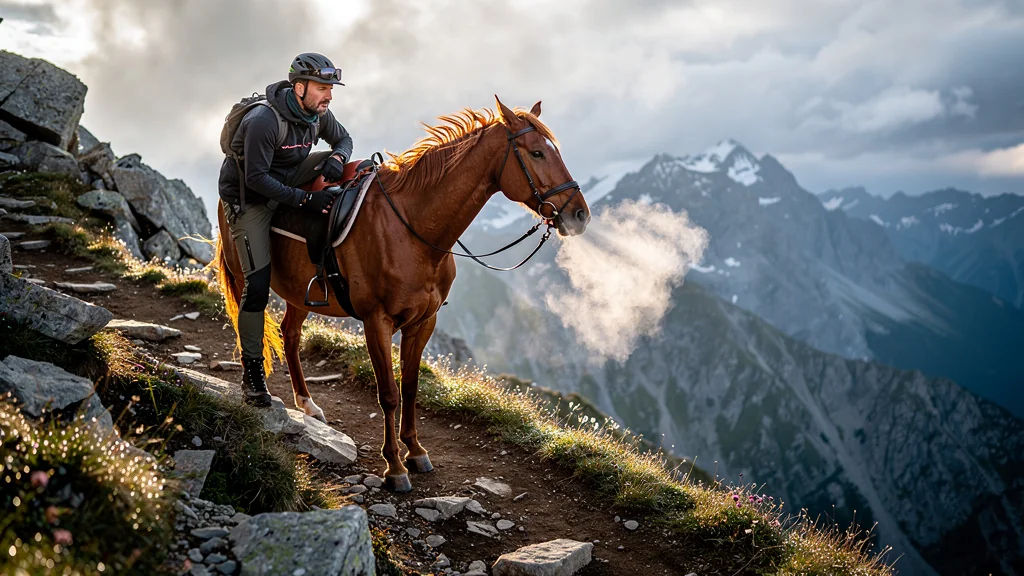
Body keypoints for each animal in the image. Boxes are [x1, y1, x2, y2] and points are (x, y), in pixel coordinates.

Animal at [215, 96, 590, 492]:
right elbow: (389, 394)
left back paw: (308, 404)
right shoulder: (376, 322)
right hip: (246, 276)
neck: (412, 229)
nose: (580, 215)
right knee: (248, 324)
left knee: (290, 335)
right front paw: (394, 466)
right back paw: (256, 391)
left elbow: (409, 386)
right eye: (536, 153)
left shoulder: (423, 322)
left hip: (299, 295)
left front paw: (415, 450)